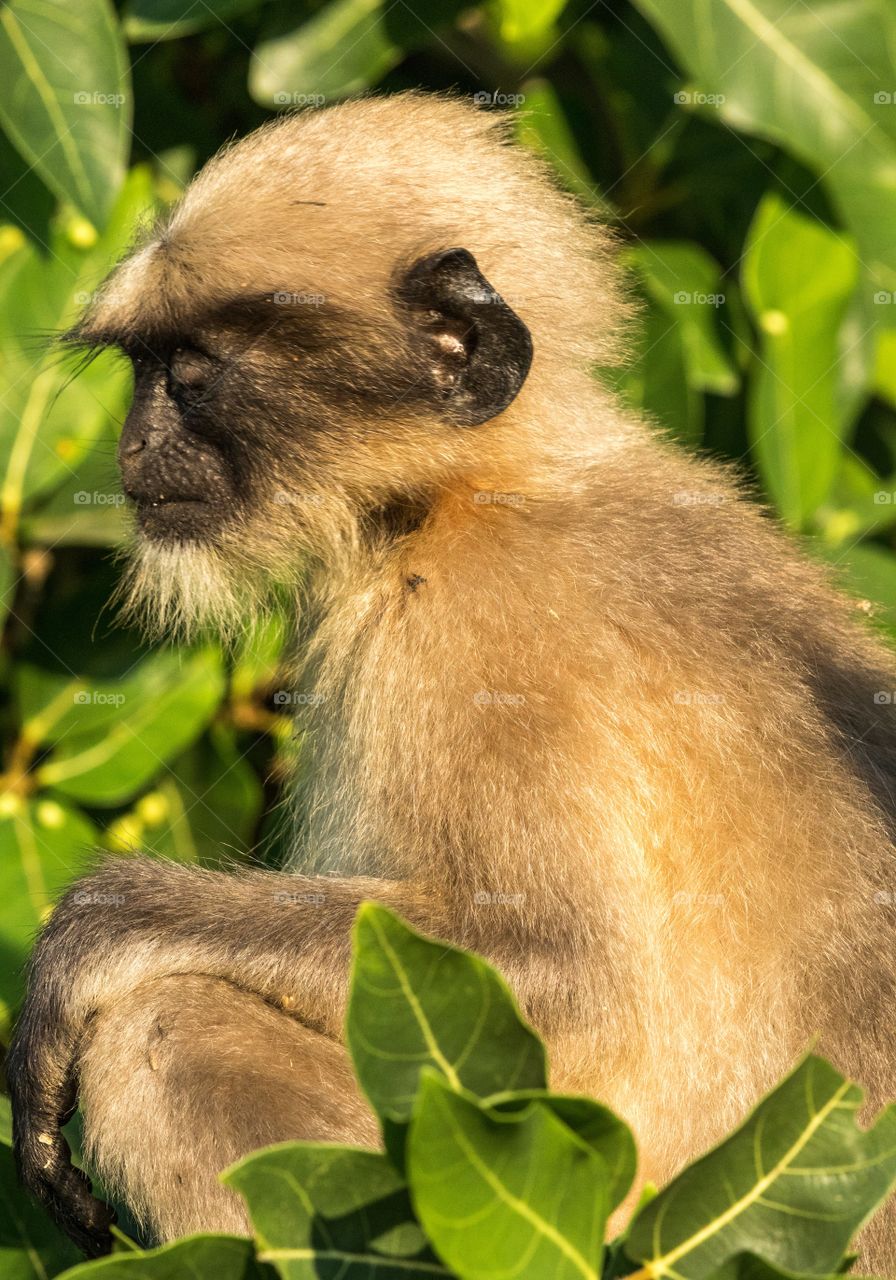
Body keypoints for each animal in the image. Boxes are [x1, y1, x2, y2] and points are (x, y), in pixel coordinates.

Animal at [10, 90, 896, 1269]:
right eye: (141, 372)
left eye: (191, 379)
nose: (132, 448)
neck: (480, 488)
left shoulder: (473, 626)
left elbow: (564, 971)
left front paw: (98, 925)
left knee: (162, 1027)